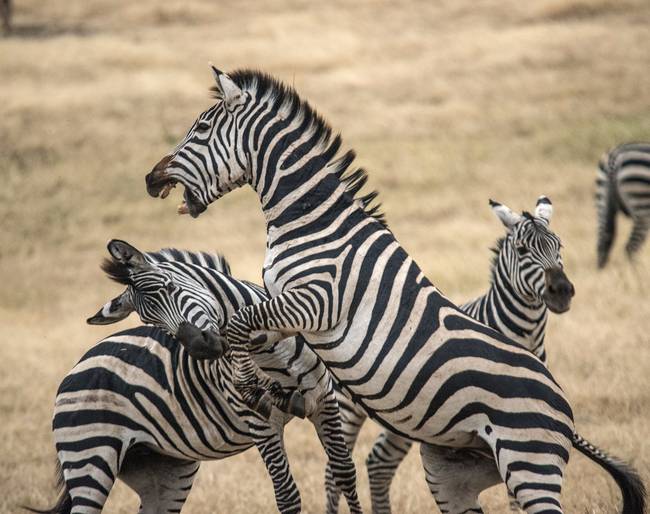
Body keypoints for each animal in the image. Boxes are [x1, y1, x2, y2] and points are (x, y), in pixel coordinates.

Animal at [30, 243, 362, 512]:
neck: (272, 353)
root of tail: (77, 366)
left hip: (165, 470)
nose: (201, 347)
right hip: (89, 457)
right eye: (150, 320)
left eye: (170, 287)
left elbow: (344, 472)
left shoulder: (324, 399)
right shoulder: (260, 422)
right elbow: (287, 495)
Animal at [142, 68, 644, 512]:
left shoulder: (319, 301)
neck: (311, 219)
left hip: (529, 462)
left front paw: (249, 386)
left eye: (201, 128)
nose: (150, 178)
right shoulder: (283, 304)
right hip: (454, 471)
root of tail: (564, 405)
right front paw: (260, 382)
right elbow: (244, 323)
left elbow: (240, 322)